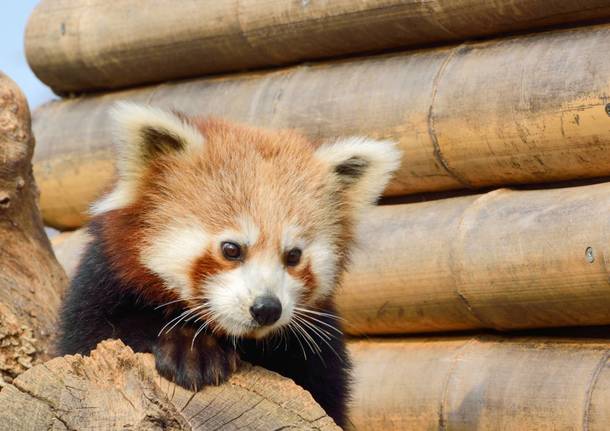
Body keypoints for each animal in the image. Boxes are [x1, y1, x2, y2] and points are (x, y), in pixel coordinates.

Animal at [57, 102, 400, 428]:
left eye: (293, 256)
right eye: (231, 249)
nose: (266, 308)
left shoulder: (320, 352)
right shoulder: (101, 290)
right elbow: (97, 335)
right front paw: (191, 350)